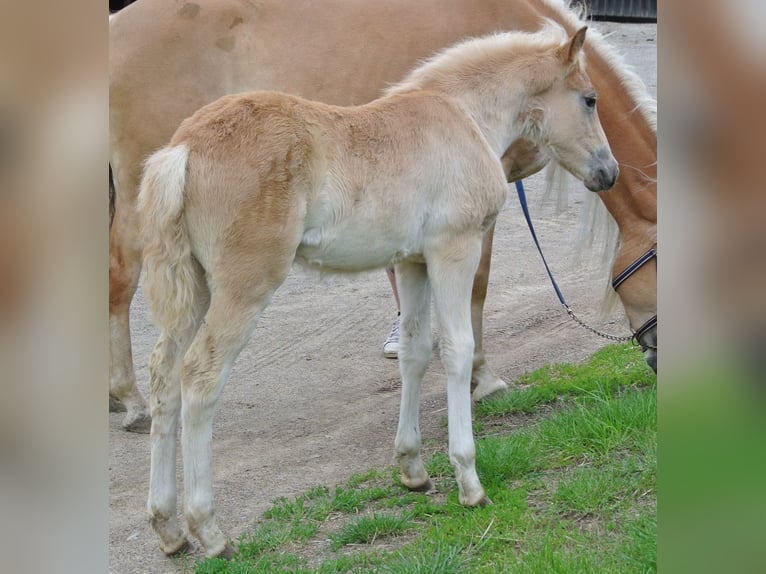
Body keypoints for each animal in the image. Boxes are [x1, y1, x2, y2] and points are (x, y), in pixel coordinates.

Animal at [109, 0, 660, 432]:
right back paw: (131, 401)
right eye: (590, 100)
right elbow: (477, 286)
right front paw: (483, 377)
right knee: (123, 280)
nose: (608, 172)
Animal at [140, 25, 616, 560]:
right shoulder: (454, 248)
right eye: (590, 99)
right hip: (245, 284)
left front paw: (413, 468)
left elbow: (415, 352)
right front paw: (469, 482)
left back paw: (169, 528)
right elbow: (457, 348)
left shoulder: (411, 262)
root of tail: (183, 149)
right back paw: (210, 531)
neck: (464, 115)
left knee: (163, 375)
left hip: (196, 284)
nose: (609, 172)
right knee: (200, 377)